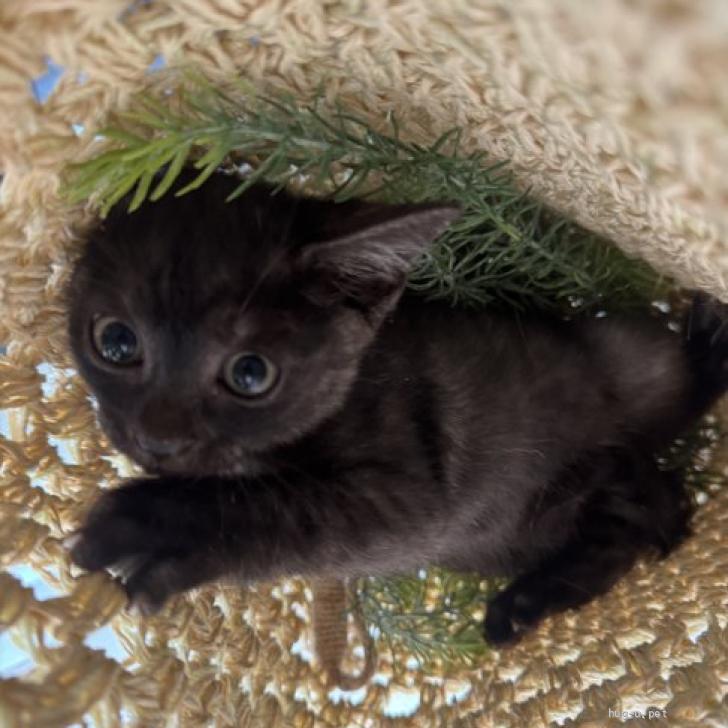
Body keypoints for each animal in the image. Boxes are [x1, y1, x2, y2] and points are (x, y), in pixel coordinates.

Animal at [66, 169, 728, 646]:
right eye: (116, 342)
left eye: (251, 374)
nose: (158, 438)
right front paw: (170, 566)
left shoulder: (412, 500)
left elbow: (275, 510)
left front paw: (138, 520)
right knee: (637, 513)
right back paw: (526, 602)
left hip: (626, 357)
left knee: (673, 406)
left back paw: (707, 347)